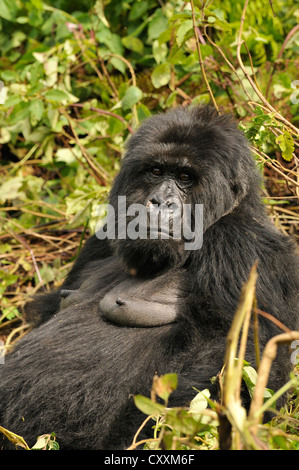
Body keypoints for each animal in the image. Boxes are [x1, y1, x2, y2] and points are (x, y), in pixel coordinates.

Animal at [0, 104, 299, 450]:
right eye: (156, 171)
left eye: (185, 177)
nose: (159, 202)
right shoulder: (102, 236)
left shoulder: (241, 246)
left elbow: (237, 359)